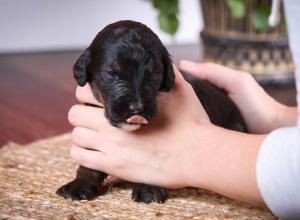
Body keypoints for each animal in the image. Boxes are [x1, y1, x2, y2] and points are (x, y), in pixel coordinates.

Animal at [56, 19, 246, 204]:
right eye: (111, 73)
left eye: (155, 75)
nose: (137, 107)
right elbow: (89, 160)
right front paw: (78, 186)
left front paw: (149, 189)